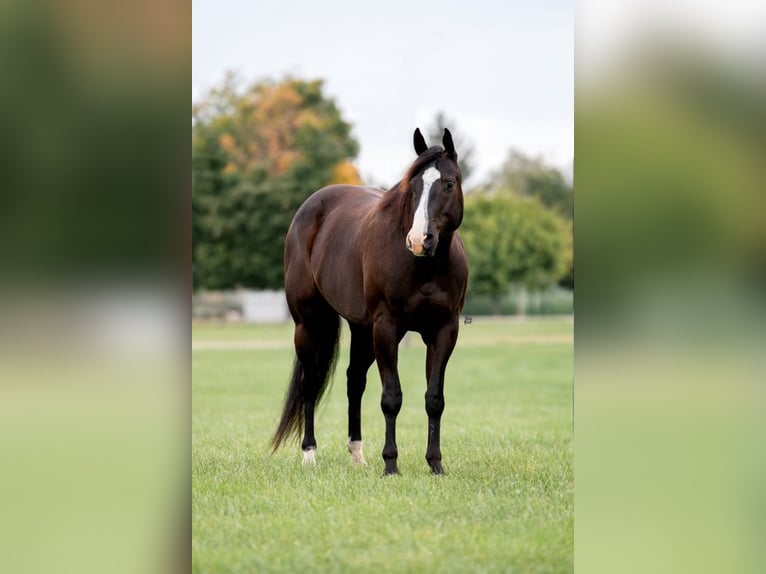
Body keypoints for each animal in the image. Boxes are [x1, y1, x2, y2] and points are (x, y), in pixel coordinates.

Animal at [271, 128, 468, 475]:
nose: (419, 240)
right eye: (413, 186)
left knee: (354, 381)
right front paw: (390, 465)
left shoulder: (445, 331)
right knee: (311, 382)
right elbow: (391, 397)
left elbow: (434, 399)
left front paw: (435, 464)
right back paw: (309, 453)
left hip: (362, 330)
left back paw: (357, 453)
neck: (424, 268)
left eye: (448, 183)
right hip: (309, 323)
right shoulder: (387, 328)